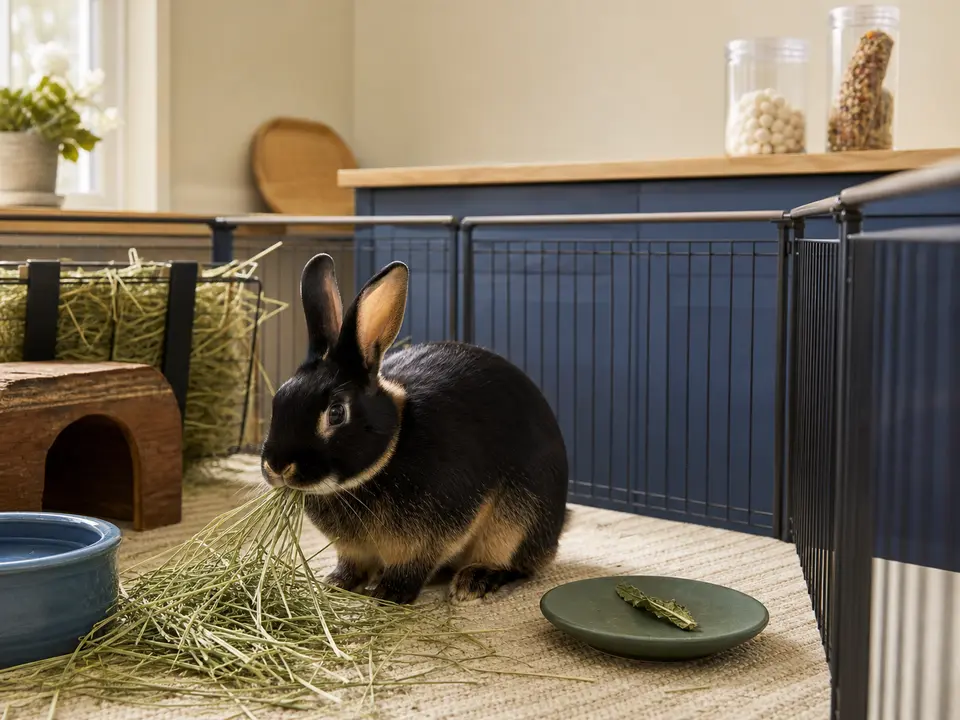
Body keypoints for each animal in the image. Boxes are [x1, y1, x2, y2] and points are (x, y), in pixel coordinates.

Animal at [260, 253, 570, 605]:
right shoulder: (353, 551)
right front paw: (337, 583)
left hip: (518, 520)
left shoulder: (427, 538)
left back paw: (475, 581)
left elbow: (411, 567)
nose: (278, 467)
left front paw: (388, 594)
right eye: (279, 397)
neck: (390, 449)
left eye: (336, 413)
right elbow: (352, 564)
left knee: (516, 563)